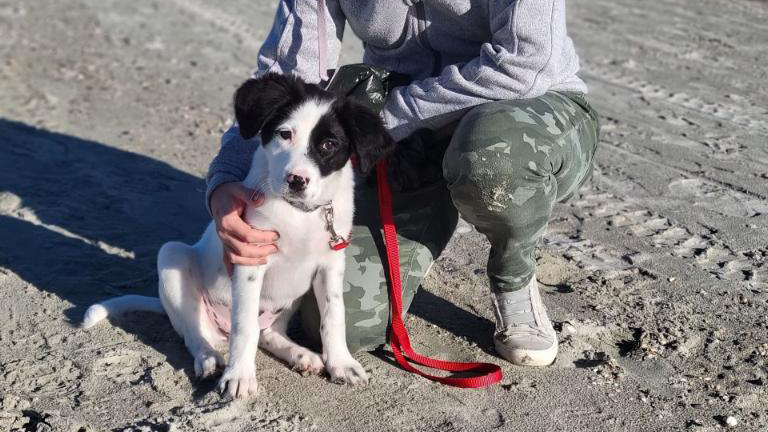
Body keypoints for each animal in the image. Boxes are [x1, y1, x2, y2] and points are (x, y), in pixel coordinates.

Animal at [84, 73, 396, 398]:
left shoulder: (331, 265)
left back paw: (301, 354)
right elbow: (244, 325)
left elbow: (334, 315)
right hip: (172, 259)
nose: (296, 180)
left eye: (329, 144)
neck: (298, 213)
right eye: (285, 134)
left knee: (267, 333)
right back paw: (209, 359)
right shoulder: (250, 258)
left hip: (288, 302)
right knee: (197, 333)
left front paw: (341, 363)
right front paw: (240, 376)